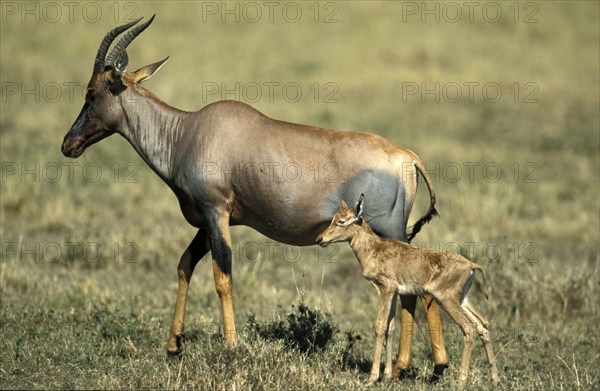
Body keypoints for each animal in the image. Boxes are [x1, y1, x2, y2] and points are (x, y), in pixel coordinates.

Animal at [61, 15, 450, 376]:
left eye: (91, 93)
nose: (68, 145)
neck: (188, 131)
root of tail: (407, 157)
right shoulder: (210, 219)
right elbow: (185, 263)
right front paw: (173, 345)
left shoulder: (215, 212)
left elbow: (222, 277)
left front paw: (231, 346)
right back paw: (432, 366)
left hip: (389, 230)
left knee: (414, 289)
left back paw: (406, 367)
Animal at [316, 193, 500, 386]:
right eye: (333, 218)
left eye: (341, 221)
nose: (320, 239)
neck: (375, 248)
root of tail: (471, 265)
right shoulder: (395, 293)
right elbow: (390, 328)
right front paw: (386, 376)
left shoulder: (385, 290)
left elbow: (380, 326)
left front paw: (372, 378)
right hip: (462, 300)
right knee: (482, 325)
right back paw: (494, 379)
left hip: (447, 301)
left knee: (469, 328)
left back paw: (461, 381)